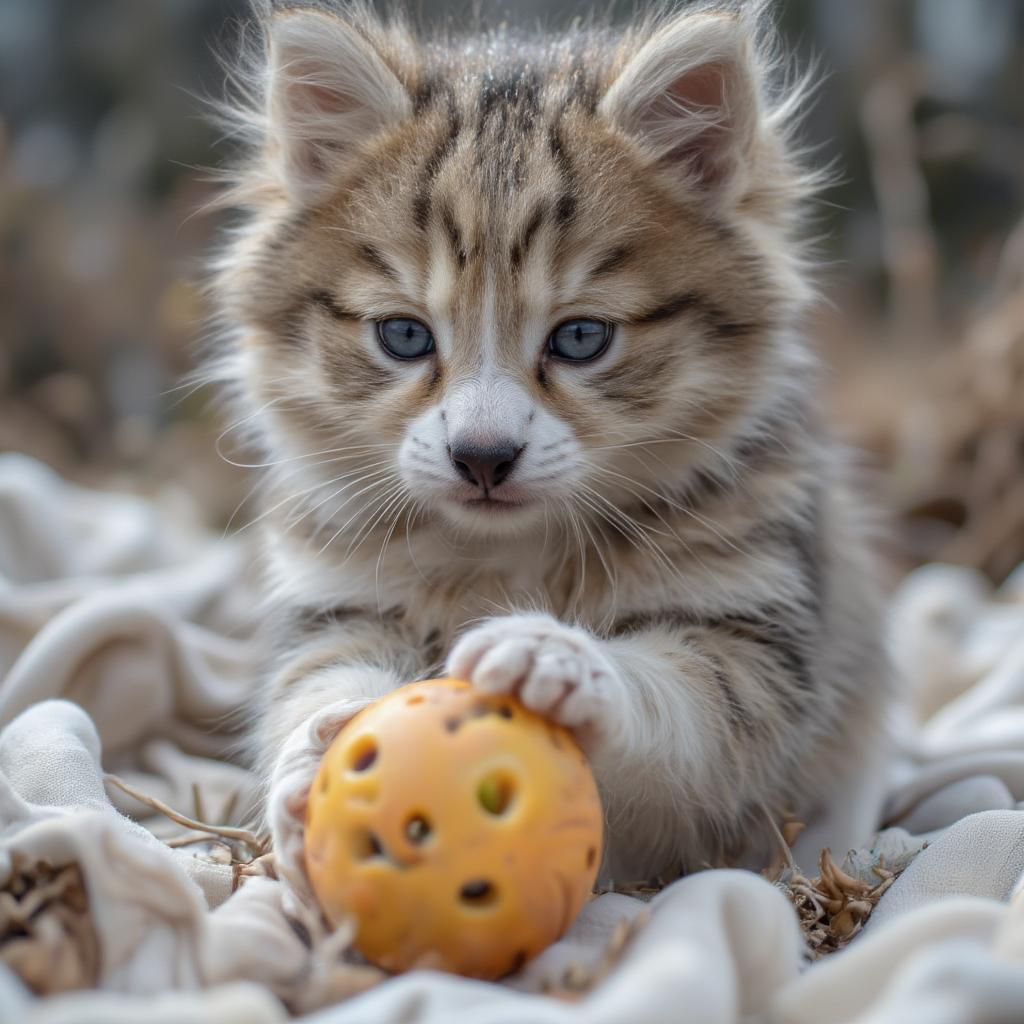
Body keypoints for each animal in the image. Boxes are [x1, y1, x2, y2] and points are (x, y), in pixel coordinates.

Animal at [214, 0, 888, 880]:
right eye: (404, 335)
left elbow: (686, 709)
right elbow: (311, 679)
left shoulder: (754, 636)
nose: (482, 456)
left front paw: (561, 660)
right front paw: (307, 760)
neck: (509, 555)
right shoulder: (335, 601)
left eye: (581, 339)